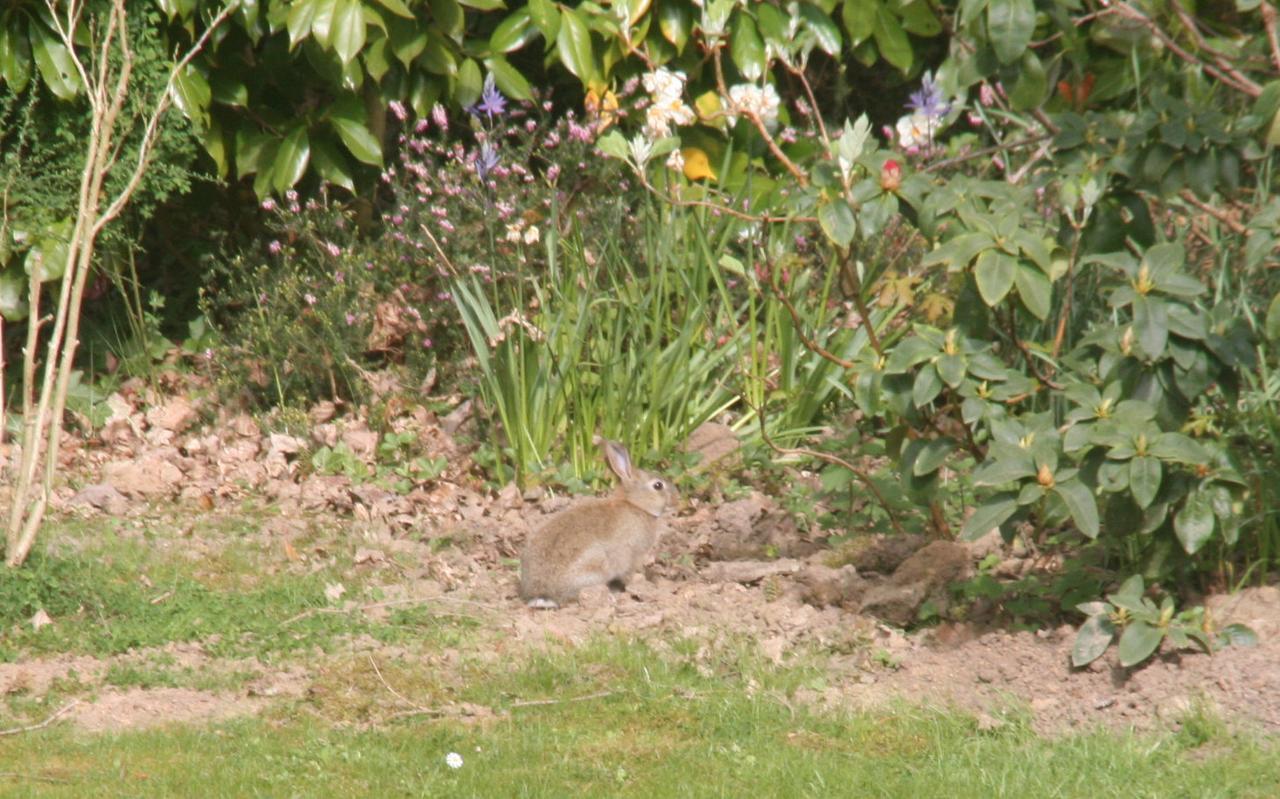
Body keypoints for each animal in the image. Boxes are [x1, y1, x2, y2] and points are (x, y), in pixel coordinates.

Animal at [519, 440, 680, 609]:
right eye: (658, 486)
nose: (677, 500)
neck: (636, 505)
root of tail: (542, 594)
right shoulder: (631, 556)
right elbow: (629, 574)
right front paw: (642, 583)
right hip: (595, 566)